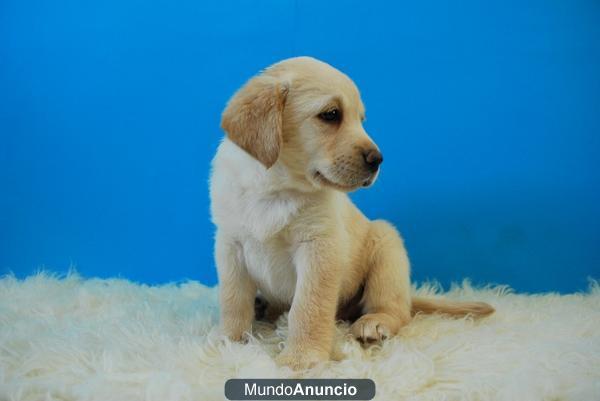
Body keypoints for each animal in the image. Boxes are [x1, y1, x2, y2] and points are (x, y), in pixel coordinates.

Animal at [211, 55, 492, 368]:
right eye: (331, 114)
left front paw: (302, 357)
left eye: (361, 119)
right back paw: (261, 307)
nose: (378, 159)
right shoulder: (230, 245)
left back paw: (375, 322)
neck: (276, 187)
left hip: (387, 247)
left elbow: (308, 307)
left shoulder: (319, 247)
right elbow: (233, 299)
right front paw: (229, 340)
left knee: (398, 311)